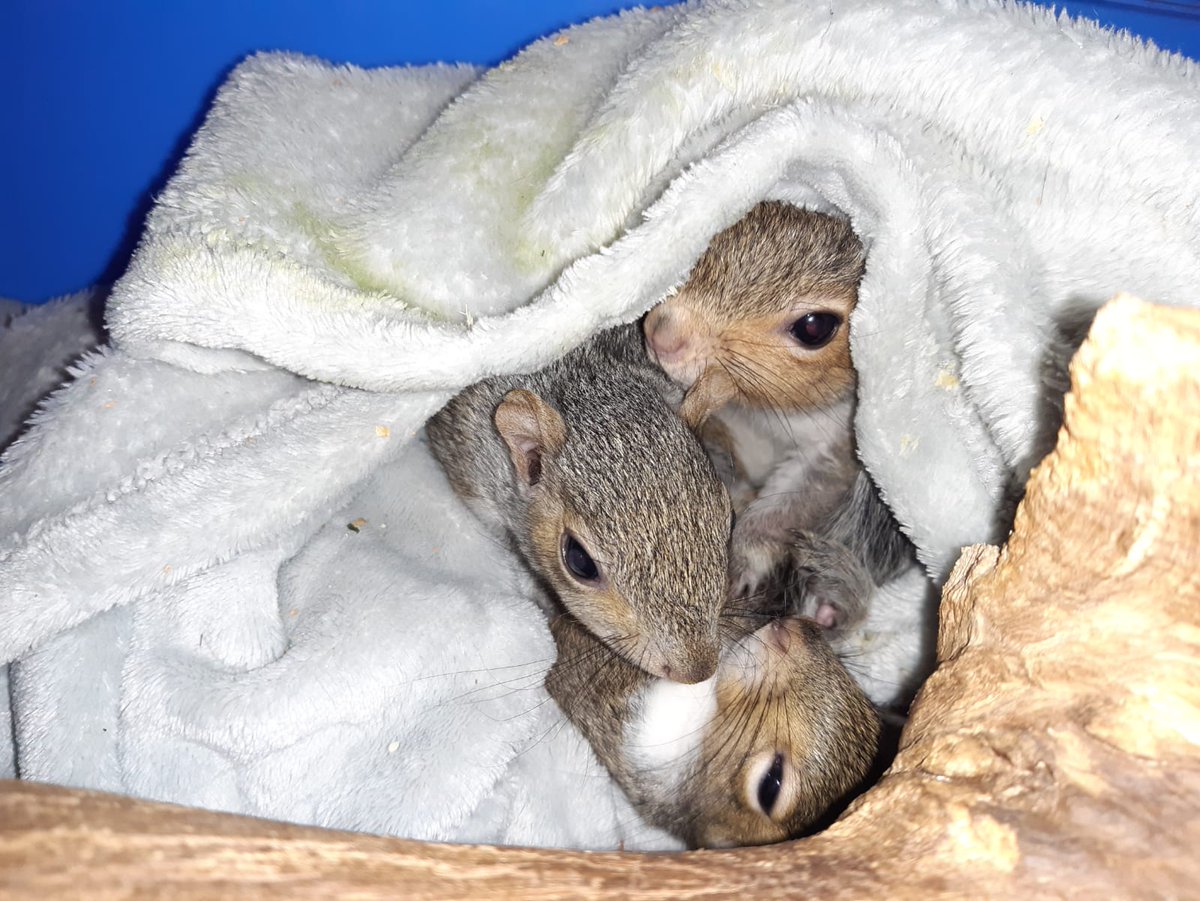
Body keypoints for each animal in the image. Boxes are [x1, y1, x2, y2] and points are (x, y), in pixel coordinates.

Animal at [648, 200, 907, 628]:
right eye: (723, 228)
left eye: (814, 327)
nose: (663, 335)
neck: (759, 411)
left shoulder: (837, 442)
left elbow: (795, 501)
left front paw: (739, 562)